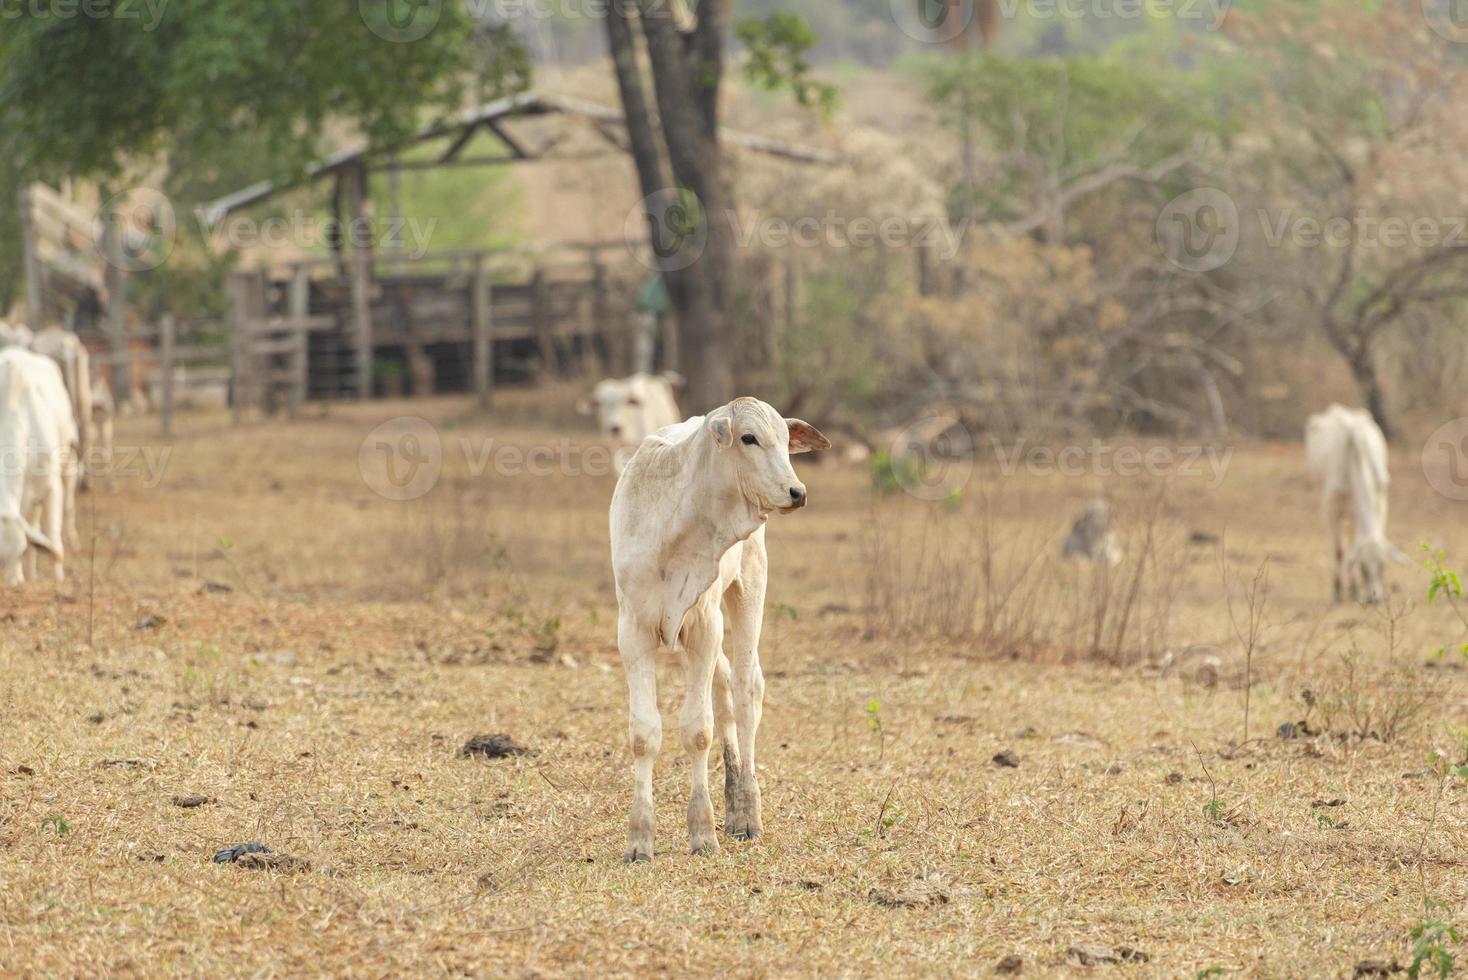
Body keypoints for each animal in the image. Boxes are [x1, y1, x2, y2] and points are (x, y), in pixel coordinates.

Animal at [607, 393, 833, 862]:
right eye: (749, 438)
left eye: (785, 439)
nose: (797, 492)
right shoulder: (633, 630)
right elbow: (644, 734)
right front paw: (640, 839)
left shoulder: (703, 625)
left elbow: (697, 731)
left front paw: (702, 832)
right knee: (725, 686)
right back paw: (732, 805)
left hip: (749, 585)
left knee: (746, 691)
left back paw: (747, 812)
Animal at [1309, 401, 1397, 601]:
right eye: (1364, 568)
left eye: (1383, 566)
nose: (1375, 599)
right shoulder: (1331, 508)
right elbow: (1339, 550)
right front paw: (1337, 592)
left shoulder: (1380, 501)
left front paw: (1355, 589)